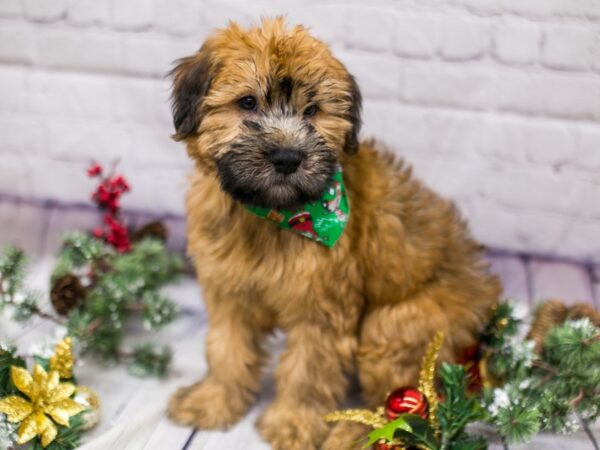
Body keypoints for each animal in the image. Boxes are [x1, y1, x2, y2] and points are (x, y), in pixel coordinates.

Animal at [166, 17, 500, 450]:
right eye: (247, 103)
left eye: (312, 111)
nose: (287, 158)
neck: (273, 215)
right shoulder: (229, 293)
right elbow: (226, 351)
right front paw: (213, 401)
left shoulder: (321, 310)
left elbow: (307, 371)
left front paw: (292, 425)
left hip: (396, 330)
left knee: (407, 406)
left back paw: (351, 434)